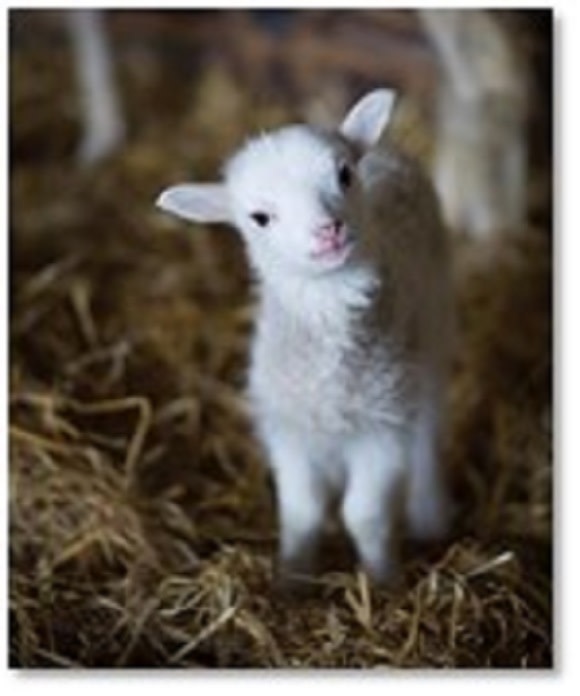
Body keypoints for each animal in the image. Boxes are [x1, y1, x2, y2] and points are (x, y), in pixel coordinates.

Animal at [156, 89, 454, 588]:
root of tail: (387, 153)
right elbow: (303, 513)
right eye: (259, 217)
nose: (328, 230)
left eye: (344, 174)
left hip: (433, 327)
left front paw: (384, 584)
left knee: (430, 423)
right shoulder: (288, 431)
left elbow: (364, 515)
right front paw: (291, 583)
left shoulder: (381, 426)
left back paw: (430, 511)